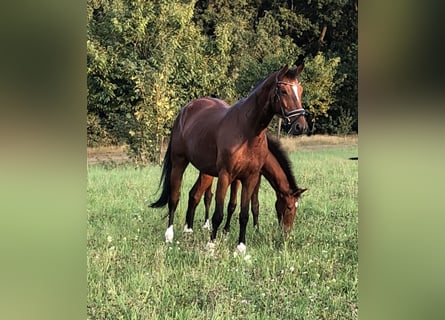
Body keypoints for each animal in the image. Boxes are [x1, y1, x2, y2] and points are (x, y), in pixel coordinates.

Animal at [149, 64, 306, 250]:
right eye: (283, 91)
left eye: (301, 91)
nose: (301, 125)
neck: (248, 131)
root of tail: (185, 110)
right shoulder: (226, 175)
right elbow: (220, 212)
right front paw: (212, 244)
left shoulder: (250, 177)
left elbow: (243, 211)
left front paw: (240, 246)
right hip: (179, 162)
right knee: (175, 197)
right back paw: (169, 236)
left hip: (205, 171)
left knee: (195, 195)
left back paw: (189, 230)